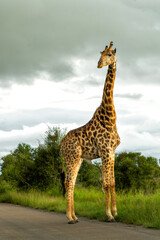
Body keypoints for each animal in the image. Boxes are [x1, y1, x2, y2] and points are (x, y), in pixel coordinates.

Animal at [60, 41, 120, 223]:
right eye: (101, 54)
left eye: (110, 54)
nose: (99, 64)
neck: (110, 117)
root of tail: (61, 144)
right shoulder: (105, 151)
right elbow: (105, 184)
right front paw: (109, 215)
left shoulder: (112, 152)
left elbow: (112, 182)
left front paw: (115, 211)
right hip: (71, 157)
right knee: (68, 182)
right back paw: (70, 217)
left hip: (78, 158)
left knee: (71, 183)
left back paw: (74, 216)